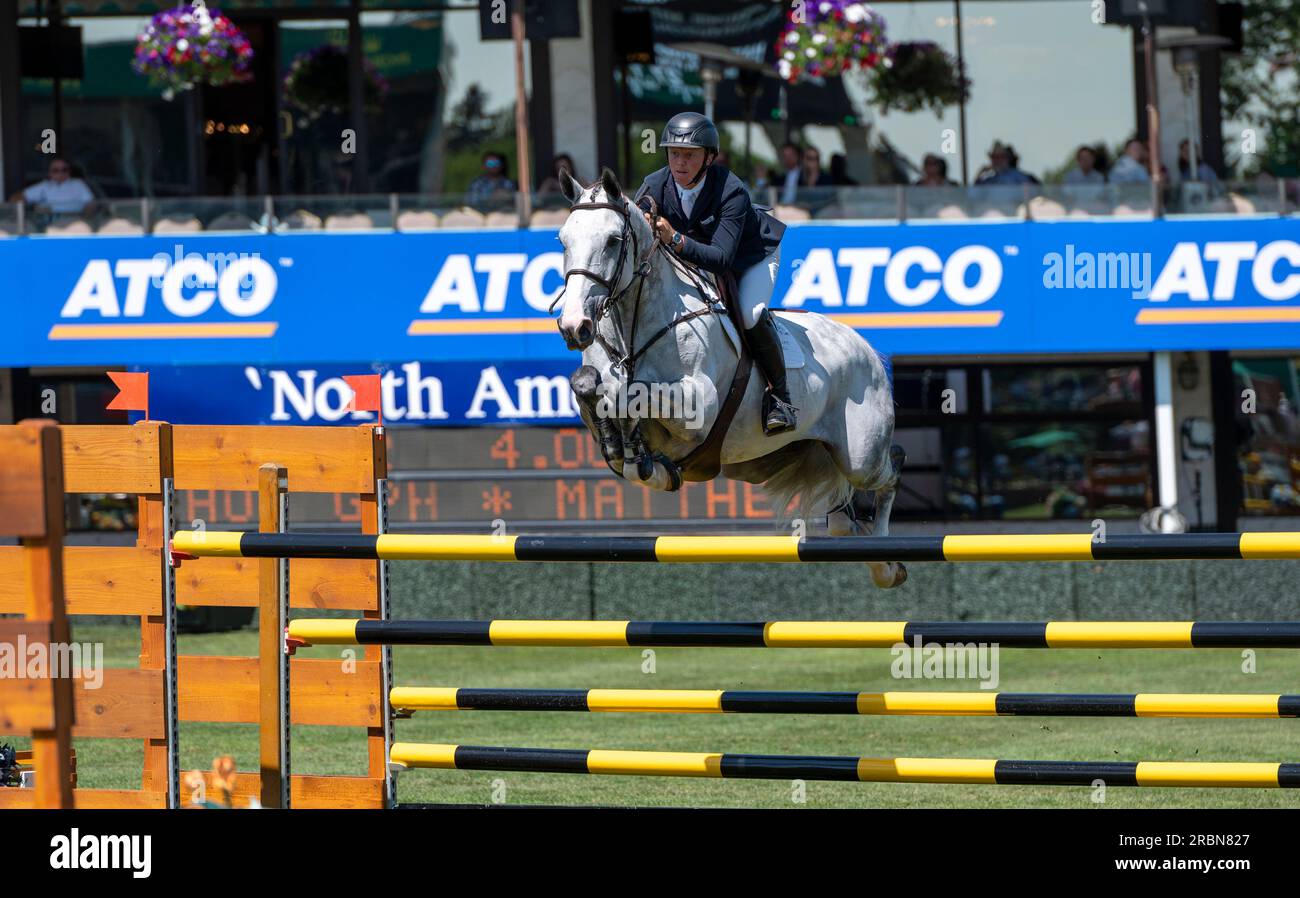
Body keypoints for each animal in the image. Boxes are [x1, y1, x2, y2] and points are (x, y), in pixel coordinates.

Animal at [551, 168, 904, 590]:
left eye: (612, 241)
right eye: (563, 241)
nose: (575, 327)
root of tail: (868, 349)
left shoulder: (696, 408)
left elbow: (633, 391)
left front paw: (639, 451)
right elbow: (589, 384)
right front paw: (625, 448)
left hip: (861, 457)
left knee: (890, 472)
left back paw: (887, 564)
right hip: (759, 462)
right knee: (840, 519)